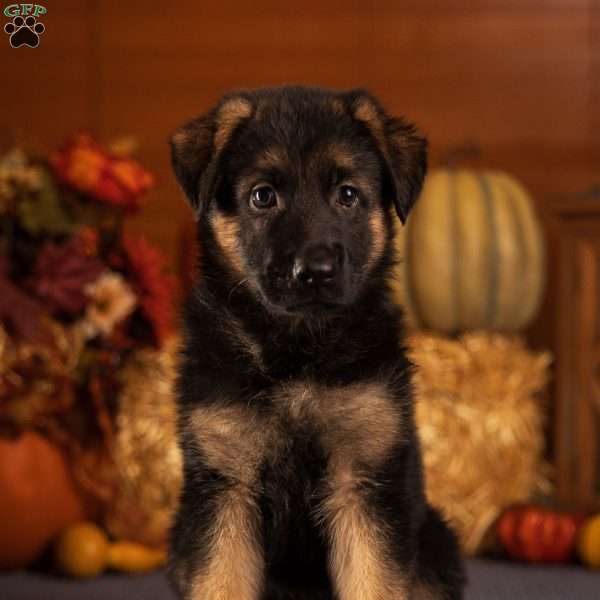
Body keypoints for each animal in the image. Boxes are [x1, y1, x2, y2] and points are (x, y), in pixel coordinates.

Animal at [168, 85, 464, 600]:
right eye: (262, 196)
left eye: (347, 194)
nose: (316, 271)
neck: (296, 355)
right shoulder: (226, 486)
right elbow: (221, 581)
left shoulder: (362, 482)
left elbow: (374, 583)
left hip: (435, 545)